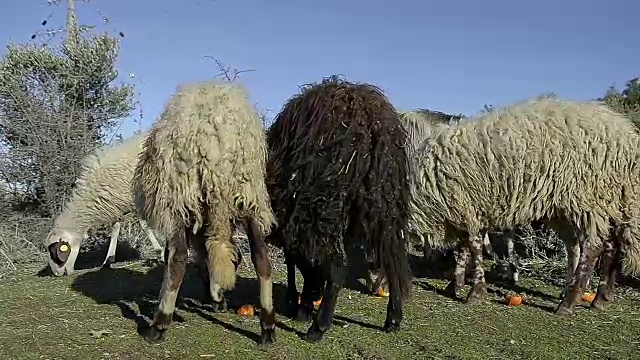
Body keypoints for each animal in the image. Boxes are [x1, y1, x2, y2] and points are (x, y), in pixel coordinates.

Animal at [42, 132, 162, 276]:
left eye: (55, 250)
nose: (57, 274)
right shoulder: (115, 205)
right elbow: (115, 229)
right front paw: (108, 261)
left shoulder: (137, 200)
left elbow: (145, 226)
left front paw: (160, 253)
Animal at [132, 80, 276, 344]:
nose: (220, 297)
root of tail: (215, 134)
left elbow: (179, 257)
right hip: (249, 192)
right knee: (261, 256)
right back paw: (268, 326)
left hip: (178, 195)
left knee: (179, 259)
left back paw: (158, 325)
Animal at [264, 74, 410, 342]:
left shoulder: (293, 217)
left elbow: (299, 261)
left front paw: (301, 305)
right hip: (386, 205)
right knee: (393, 258)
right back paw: (393, 318)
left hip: (323, 205)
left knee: (339, 267)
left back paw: (318, 327)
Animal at [410, 96, 640, 316]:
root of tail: (626, 135)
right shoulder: (466, 209)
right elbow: (465, 246)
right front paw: (456, 285)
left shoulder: (467, 203)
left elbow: (473, 246)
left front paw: (475, 291)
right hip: (594, 203)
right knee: (608, 245)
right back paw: (600, 298)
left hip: (588, 196)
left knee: (593, 247)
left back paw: (568, 303)